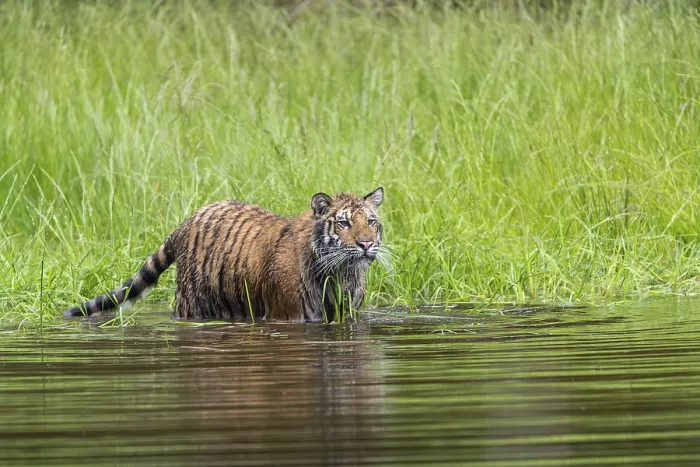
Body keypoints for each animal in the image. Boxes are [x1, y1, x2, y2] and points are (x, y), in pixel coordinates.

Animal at [63, 187, 386, 322]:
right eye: (344, 222)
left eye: (371, 221)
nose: (366, 244)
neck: (341, 273)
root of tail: (187, 220)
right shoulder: (291, 316)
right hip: (191, 304)